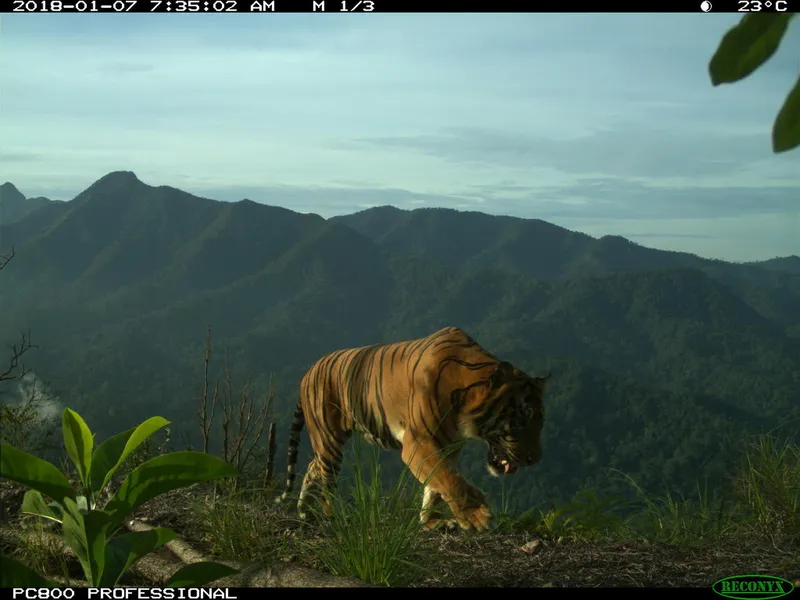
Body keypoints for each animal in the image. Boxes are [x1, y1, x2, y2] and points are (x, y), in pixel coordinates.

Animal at [275, 326, 549, 531]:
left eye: (541, 423)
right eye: (522, 420)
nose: (535, 459)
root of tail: (308, 372)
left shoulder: (449, 445)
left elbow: (436, 484)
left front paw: (433, 521)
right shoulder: (418, 442)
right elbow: (448, 478)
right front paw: (476, 515)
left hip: (327, 443)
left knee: (313, 468)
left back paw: (304, 511)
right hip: (329, 438)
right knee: (326, 480)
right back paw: (334, 515)